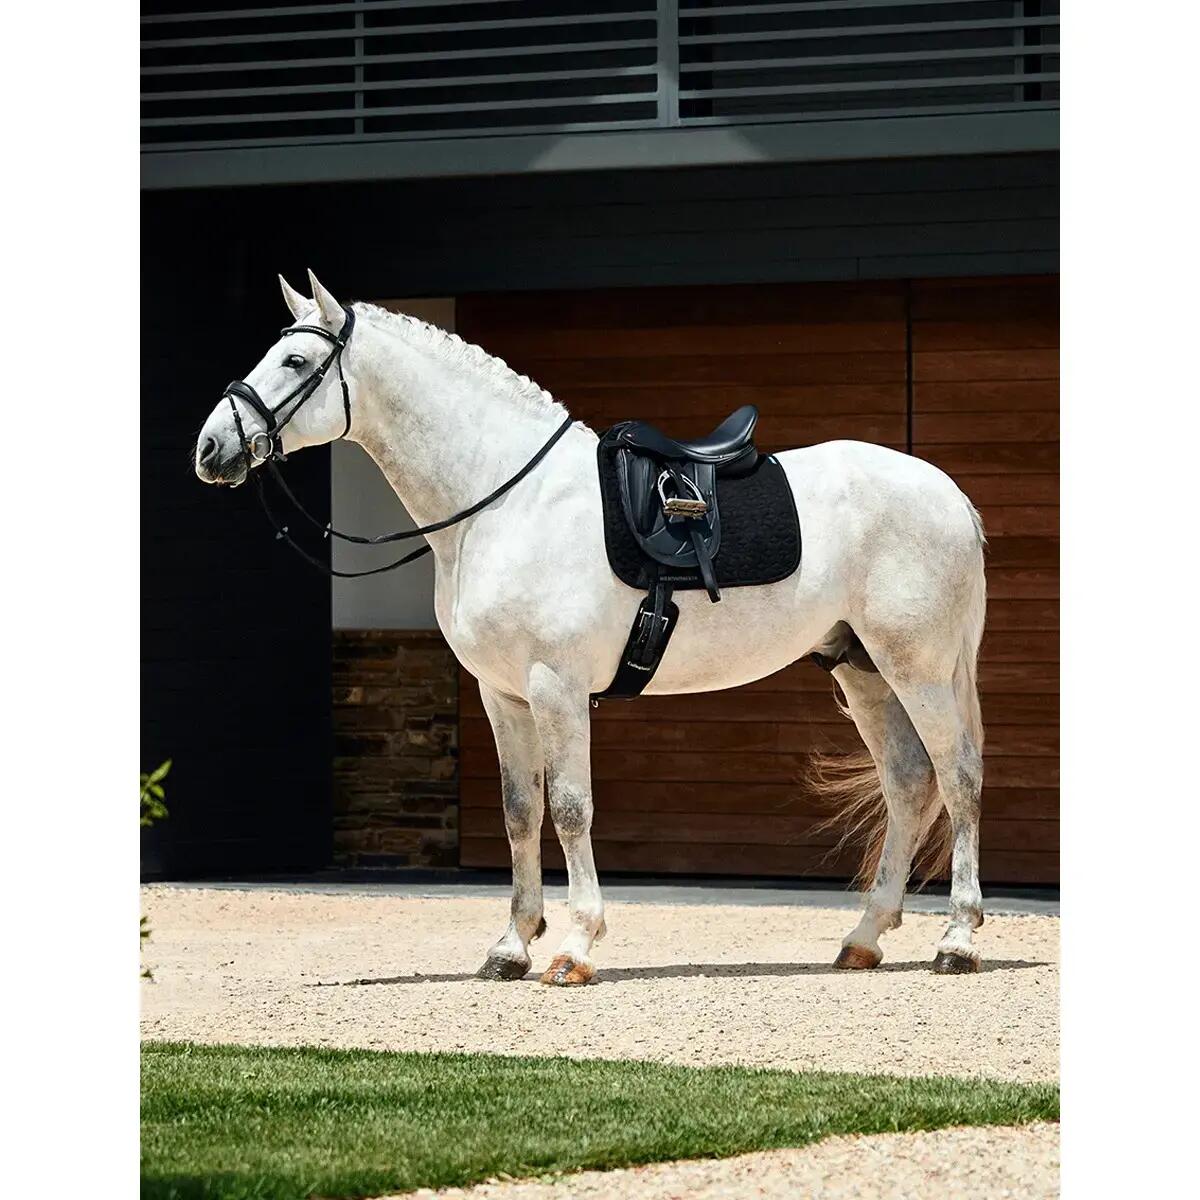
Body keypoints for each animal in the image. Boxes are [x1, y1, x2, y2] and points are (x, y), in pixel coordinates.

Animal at [193, 271, 988, 985]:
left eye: (296, 362)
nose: (210, 450)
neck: (503, 502)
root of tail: (950, 495)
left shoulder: (556, 688)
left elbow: (571, 810)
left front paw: (575, 948)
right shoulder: (502, 695)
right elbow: (520, 812)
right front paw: (512, 947)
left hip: (916, 669)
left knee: (958, 777)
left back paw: (957, 940)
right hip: (863, 670)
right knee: (909, 782)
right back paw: (864, 938)